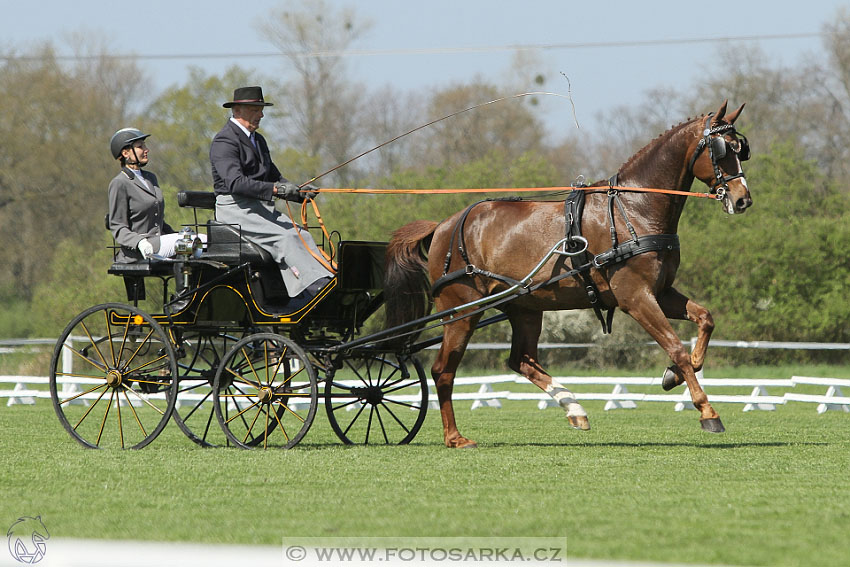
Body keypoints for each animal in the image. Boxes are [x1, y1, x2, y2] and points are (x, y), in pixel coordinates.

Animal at [384, 101, 748, 448]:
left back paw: (574, 408)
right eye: (721, 149)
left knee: (522, 360)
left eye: (741, 148)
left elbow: (704, 321)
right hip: (462, 311)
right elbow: (675, 347)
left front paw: (672, 376)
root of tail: (443, 226)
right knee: (443, 371)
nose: (743, 199)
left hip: (524, 308)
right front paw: (707, 411)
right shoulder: (636, 297)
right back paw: (455, 437)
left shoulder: (660, 292)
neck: (634, 210)